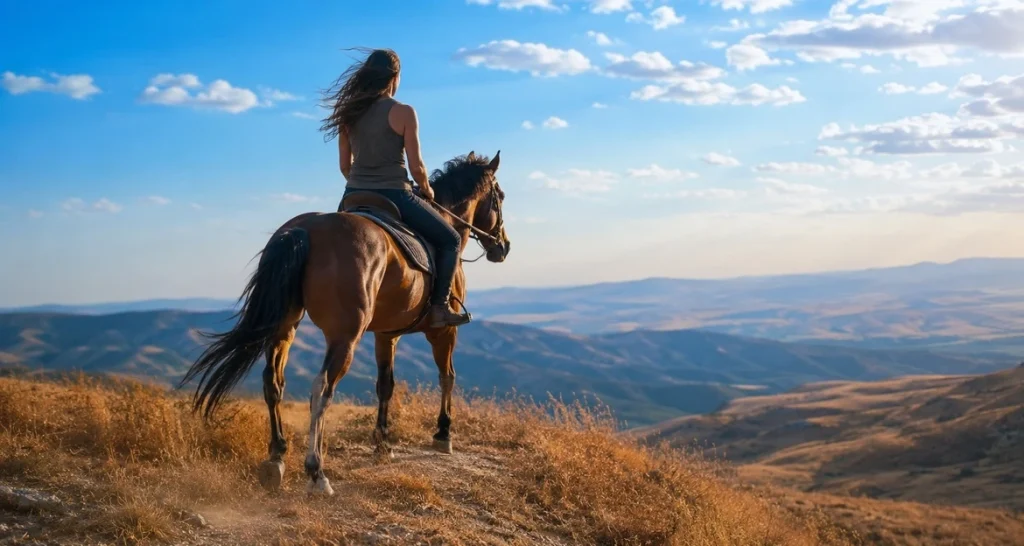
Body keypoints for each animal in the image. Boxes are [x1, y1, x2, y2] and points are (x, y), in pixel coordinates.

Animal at [178, 150, 510, 495]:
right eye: (500, 196)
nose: (503, 246)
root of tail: (304, 229)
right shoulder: (443, 330)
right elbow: (447, 377)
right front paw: (443, 434)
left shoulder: (386, 335)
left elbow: (385, 385)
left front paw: (383, 443)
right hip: (345, 336)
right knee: (321, 388)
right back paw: (316, 472)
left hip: (284, 328)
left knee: (273, 382)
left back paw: (276, 457)